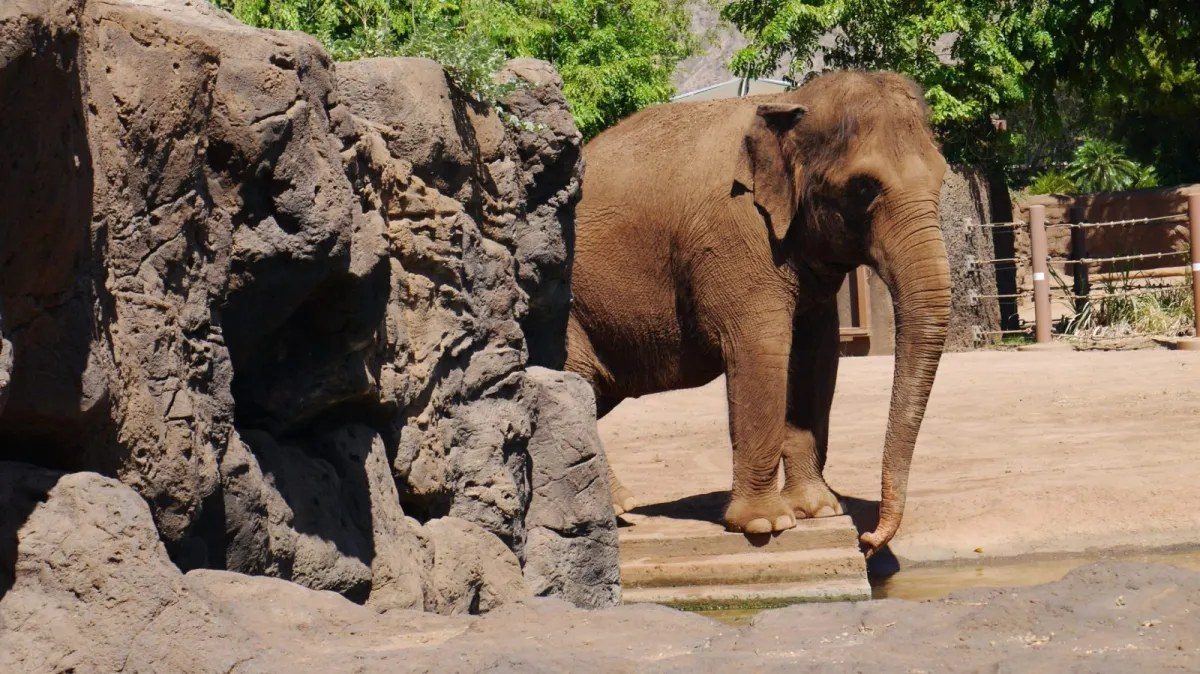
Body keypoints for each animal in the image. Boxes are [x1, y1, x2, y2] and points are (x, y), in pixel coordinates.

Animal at [565, 71, 951, 556]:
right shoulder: (736, 235)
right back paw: (617, 510)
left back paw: (618, 510)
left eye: (943, 179)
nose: (868, 540)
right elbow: (762, 349)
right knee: (575, 378)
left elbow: (815, 356)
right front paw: (767, 525)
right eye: (864, 187)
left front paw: (820, 510)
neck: (793, 104)